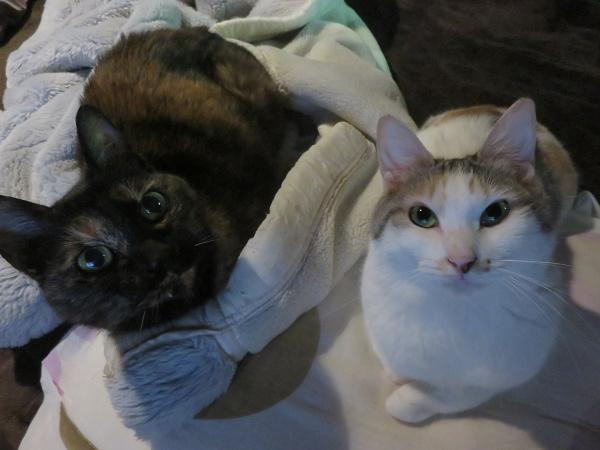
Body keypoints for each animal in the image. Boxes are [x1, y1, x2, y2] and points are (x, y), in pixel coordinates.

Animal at [360, 98, 578, 423]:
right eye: (421, 215)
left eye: (495, 213)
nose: (461, 260)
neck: (453, 313)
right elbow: (390, 355)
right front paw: (399, 374)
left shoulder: (507, 370)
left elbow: (453, 395)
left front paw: (406, 401)